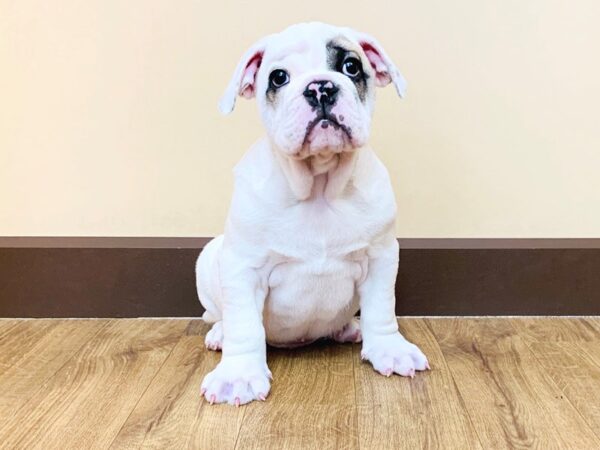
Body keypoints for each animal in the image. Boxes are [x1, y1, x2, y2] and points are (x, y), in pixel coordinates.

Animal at [196, 22, 426, 408]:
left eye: (351, 66)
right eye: (278, 77)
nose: (321, 87)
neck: (319, 185)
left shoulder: (381, 257)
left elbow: (382, 307)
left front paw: (390, 349)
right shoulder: (243, 266)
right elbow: (244, 324)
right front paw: (238, 375)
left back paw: (348, 327)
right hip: (209, 257)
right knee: (220, 316)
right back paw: (219, 334)